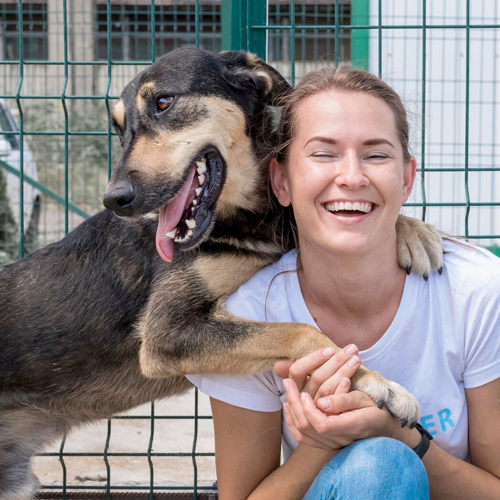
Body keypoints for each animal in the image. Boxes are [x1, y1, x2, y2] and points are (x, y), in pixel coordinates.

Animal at [0, 47, 442, 500]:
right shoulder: (165, 332)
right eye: (118, 128)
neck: (248, 219)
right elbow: (298, 331)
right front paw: (376, 383)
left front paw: (415, 233)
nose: (115, 199)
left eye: (164, 102)